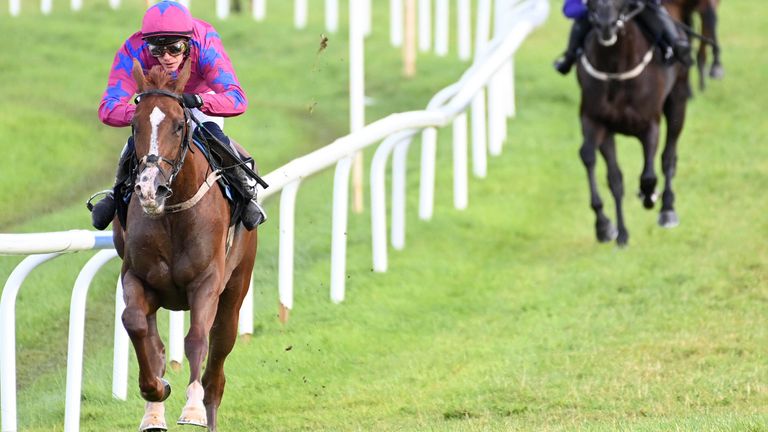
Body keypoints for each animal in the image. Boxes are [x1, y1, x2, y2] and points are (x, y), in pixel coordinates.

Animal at [112, 59, 258, 430]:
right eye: (134, 125)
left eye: (179, 126)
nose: (150, 189)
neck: (172, 214)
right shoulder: (137, 277)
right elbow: (134, 323)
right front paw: (156, 389)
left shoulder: (206, 281)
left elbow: (196, 339)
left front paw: (191, 407)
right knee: (153, 340)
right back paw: (153, 410)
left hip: (236, 289)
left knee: (217, 366)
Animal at [576, 0, 688, 245]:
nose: (605, 25)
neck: (615, 69)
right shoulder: (597, 123)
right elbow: (605, 171)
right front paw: (609, 228)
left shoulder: (650, 125)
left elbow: (648, 175)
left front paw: (649, 196)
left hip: (678, 102)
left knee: (668, 156)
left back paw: (667, 208)